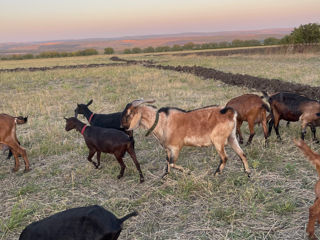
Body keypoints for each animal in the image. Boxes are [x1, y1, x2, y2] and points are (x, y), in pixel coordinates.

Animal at [120, 99, 250, 176]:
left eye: (128, 114)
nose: (121, 126)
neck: (162, 121)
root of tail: (229, 112)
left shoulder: (176, 147)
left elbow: (172, 163)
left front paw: (186, 171)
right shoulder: (168, 149)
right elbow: (167, 161)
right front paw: (165, 175)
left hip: (218, 140)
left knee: (225, 157)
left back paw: (216, 173)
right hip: (231, 137)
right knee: (242, 154)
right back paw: (247, 172)